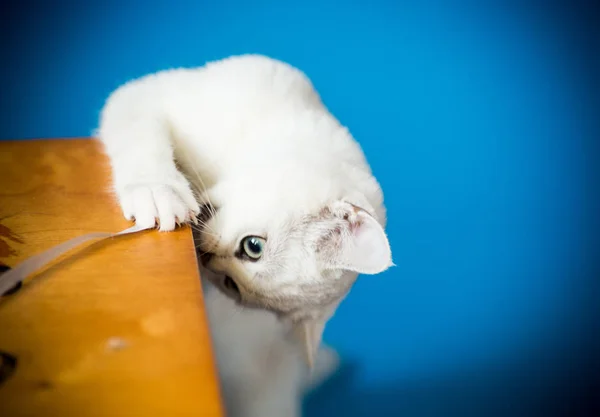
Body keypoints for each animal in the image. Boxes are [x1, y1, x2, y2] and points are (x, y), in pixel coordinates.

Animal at [97, 55, 394, 416]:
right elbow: (143, 139)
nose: (207, 260)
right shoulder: (148, 95)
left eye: (231, 286)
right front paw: (157, 191)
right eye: (253, 247)